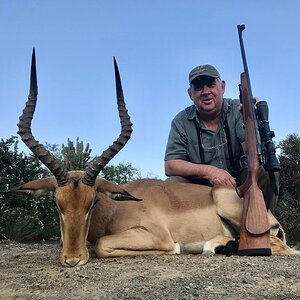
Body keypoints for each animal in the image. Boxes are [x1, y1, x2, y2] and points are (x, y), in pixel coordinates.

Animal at [4, 49, 296, 268]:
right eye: (57, 203)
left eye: (92, 202)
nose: (72, 259)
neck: (116, 208)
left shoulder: (155, 236)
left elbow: (102, 245)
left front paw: (177, 248)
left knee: (285, 248)